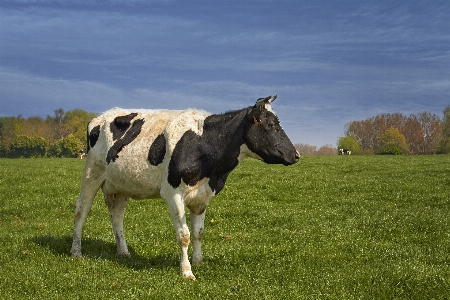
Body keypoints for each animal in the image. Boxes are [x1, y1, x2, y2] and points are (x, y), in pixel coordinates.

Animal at [70, 95, 298, 278]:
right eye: (270, 124)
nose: (295, 155)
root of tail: (102, 116)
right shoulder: (173, 194)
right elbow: (184, 235)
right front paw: (187, 271)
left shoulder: (202, 196)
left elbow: (198, 232)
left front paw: (198, 262)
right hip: (92, 172)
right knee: (81, 210)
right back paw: (76, 251)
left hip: (122, 184)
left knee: (117, 216)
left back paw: (123, 252)